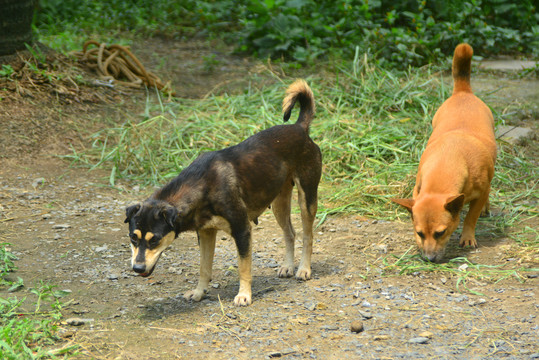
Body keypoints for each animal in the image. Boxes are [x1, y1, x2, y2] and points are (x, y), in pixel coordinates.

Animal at [124, 80, 322, 306]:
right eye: (132, 238)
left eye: (155, 240)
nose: (137, 268)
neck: (202, 185)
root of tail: (300, 128)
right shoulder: (206, 233)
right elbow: (204, 267)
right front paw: (199, 292)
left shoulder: (242, 230)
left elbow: (244, 267)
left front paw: (244, 295)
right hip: (279, 203)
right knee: (290, 233)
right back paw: (288, 266)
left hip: (307, 198)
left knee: (307, 235)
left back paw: (303, 269)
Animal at [392, 44, 498, 262]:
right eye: (419, 233)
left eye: (440, 233)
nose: (429, 259)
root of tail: (463, 91)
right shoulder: (417, 191)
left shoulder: (481, 192)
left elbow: (470, 217)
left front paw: (467, 237)